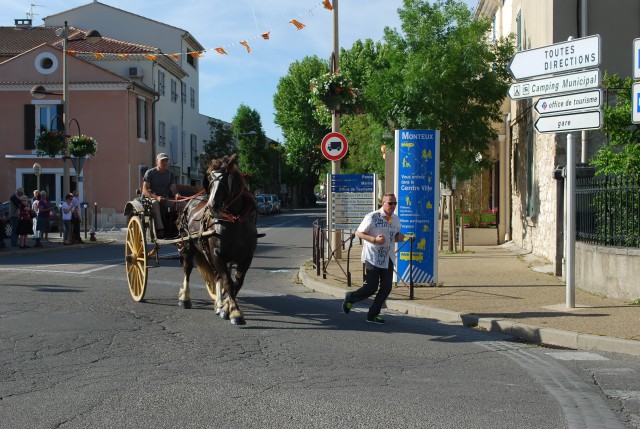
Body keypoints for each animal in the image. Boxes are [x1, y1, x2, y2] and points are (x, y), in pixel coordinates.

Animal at [178, 154, 258, 324]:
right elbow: (227, 281)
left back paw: (219, 304)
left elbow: (237, 282)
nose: (212, 205)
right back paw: (185, 298)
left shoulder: (247, 257)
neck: (235, 221)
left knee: (217, 276)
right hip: (189, 246)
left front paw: (227, 308)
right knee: (187, 269)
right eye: (209, 177)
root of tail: (191, 201)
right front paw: (235, 312)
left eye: (226, 178)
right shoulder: (217, 254)